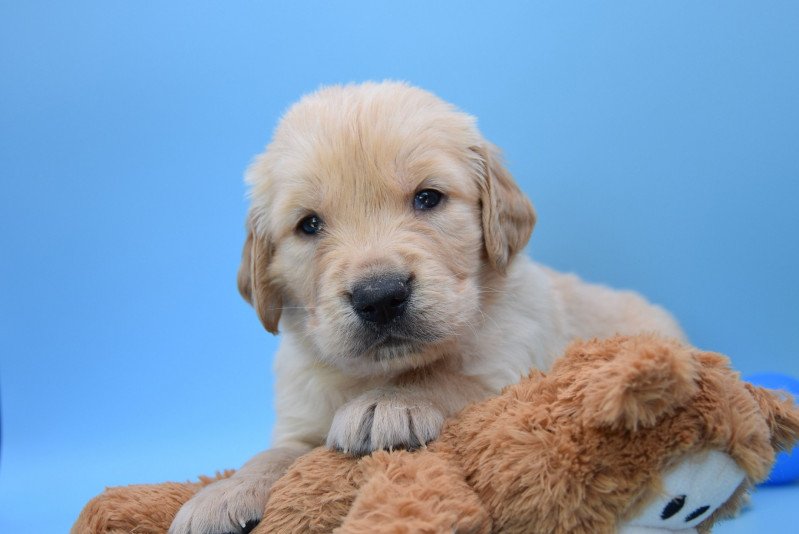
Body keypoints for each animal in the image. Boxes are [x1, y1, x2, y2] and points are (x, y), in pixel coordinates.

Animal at [169, 80, 680, 534]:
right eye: (309, 225)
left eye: (428, 197)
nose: (380, 296)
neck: (376, 373)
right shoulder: (301, 414)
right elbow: (276, 451)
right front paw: (224, 493)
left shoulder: (513, 366)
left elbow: (447, 377)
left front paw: (391, 402)